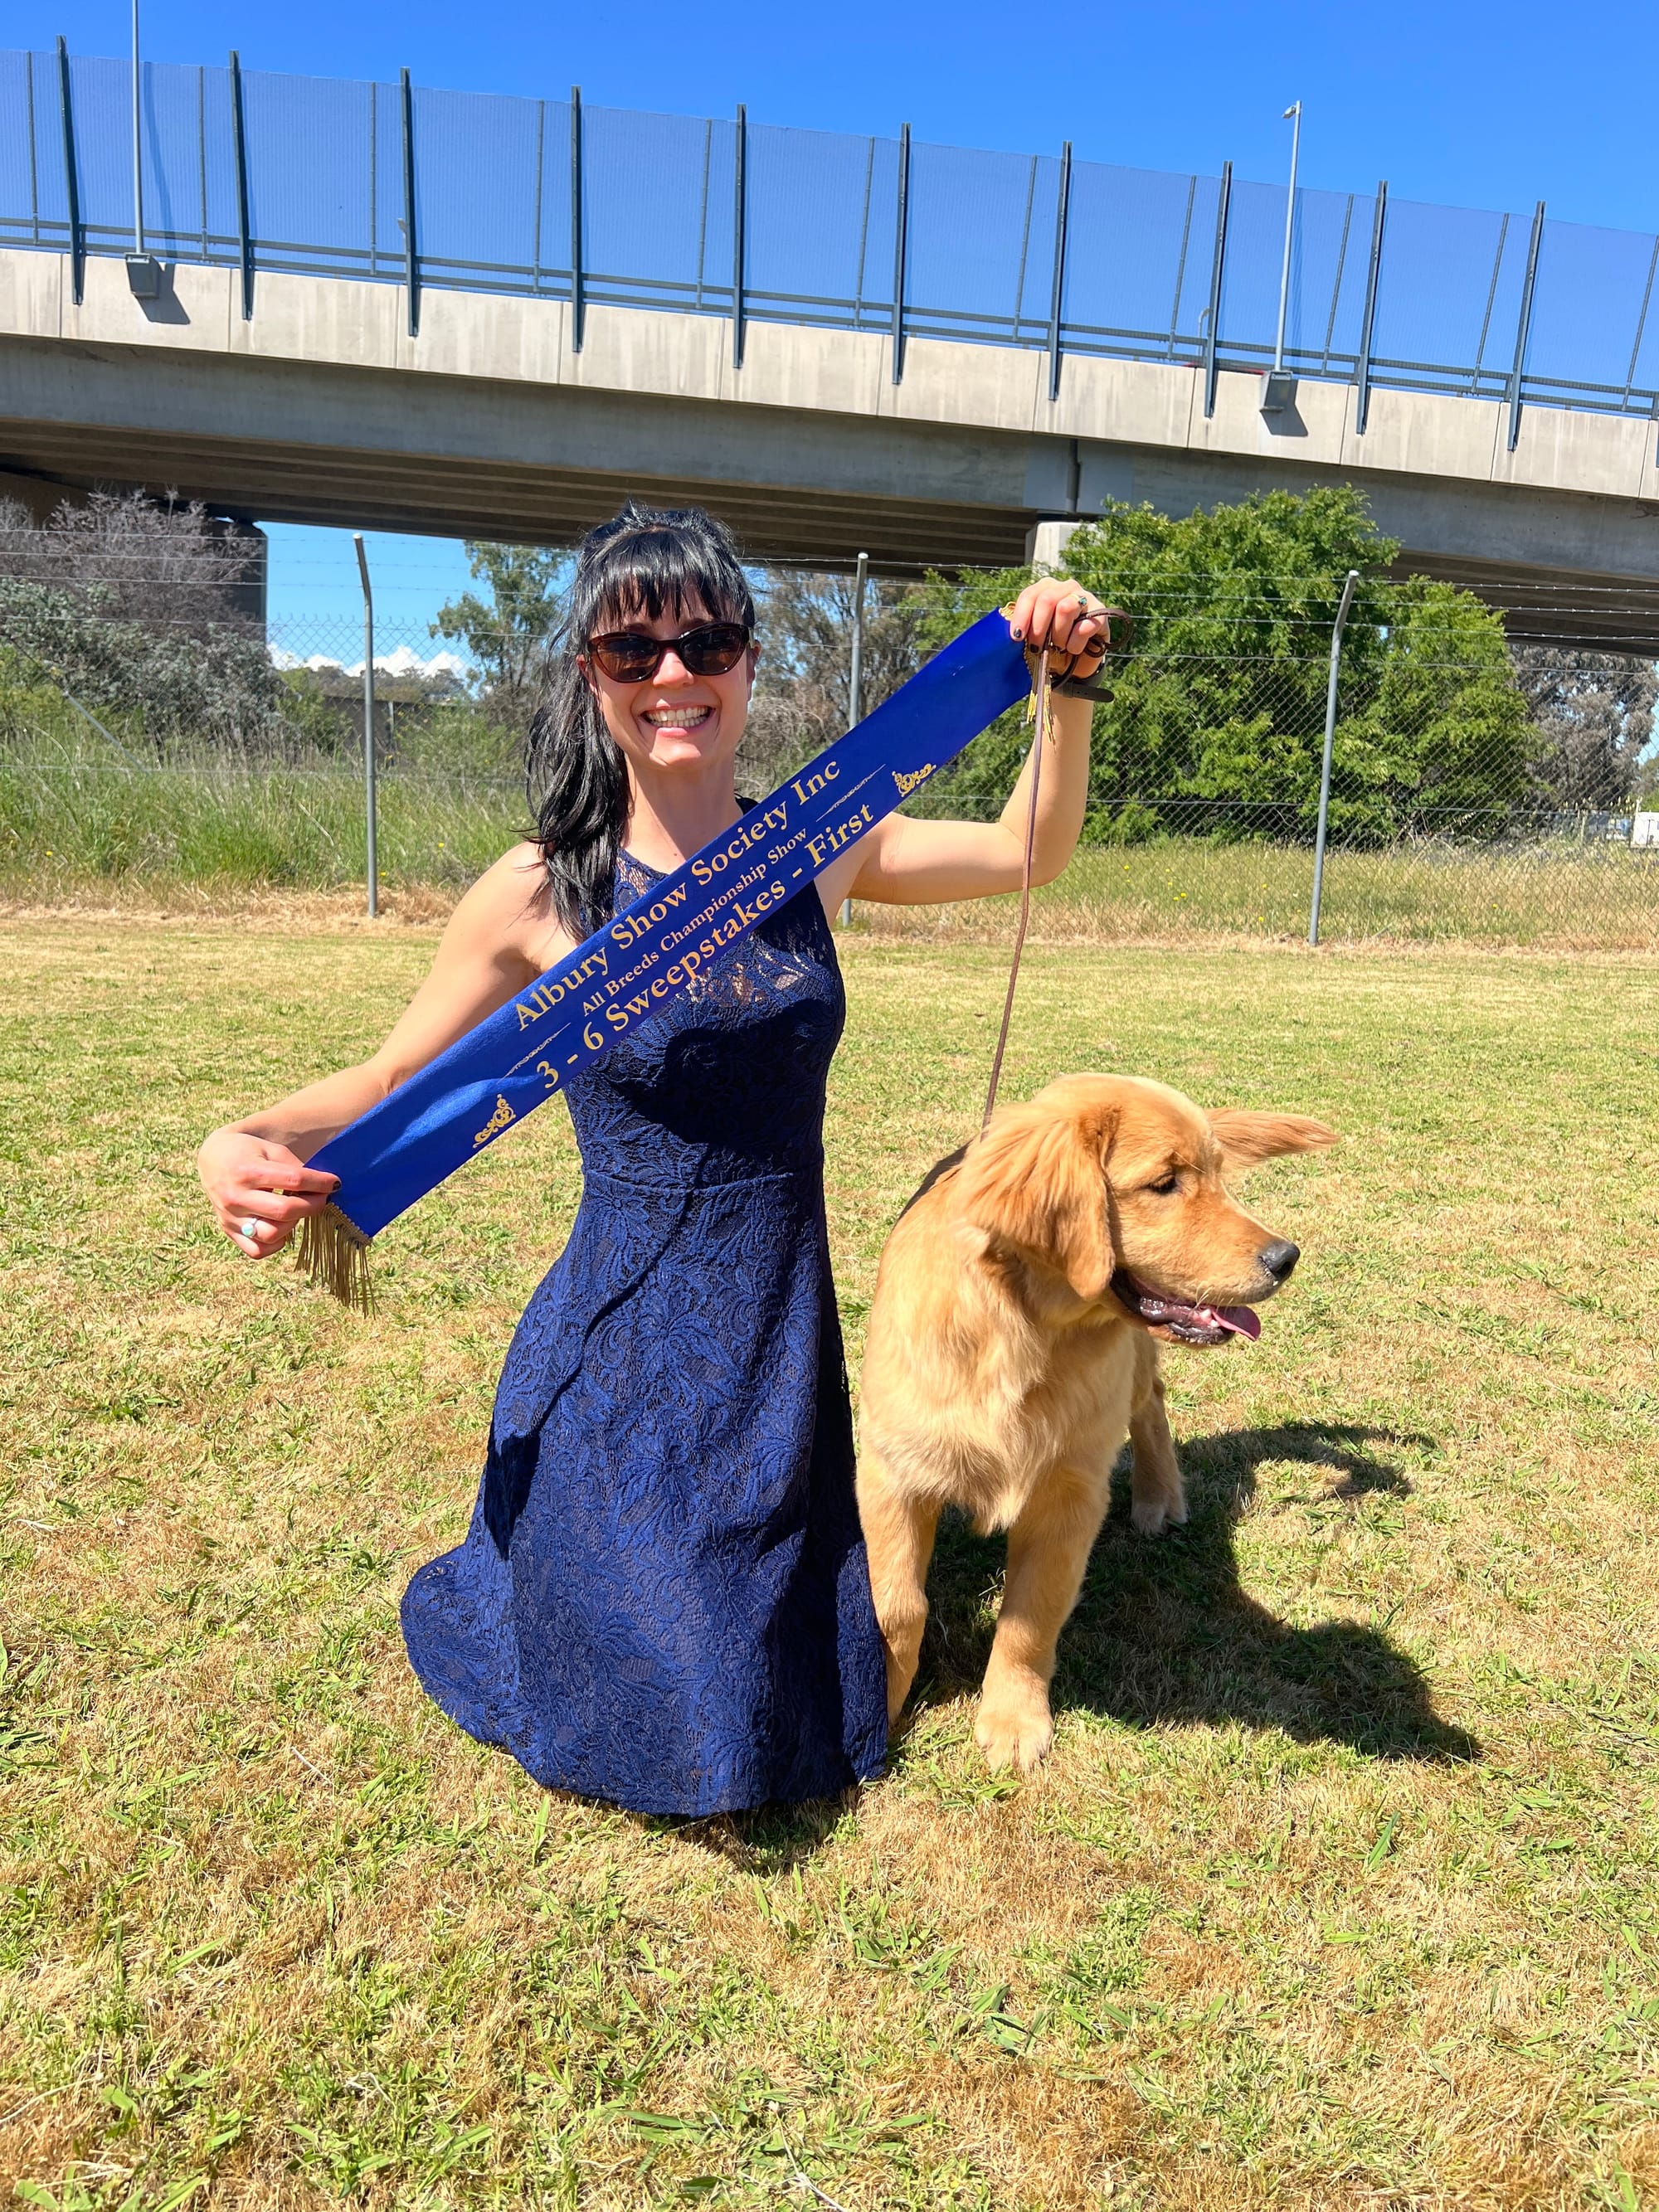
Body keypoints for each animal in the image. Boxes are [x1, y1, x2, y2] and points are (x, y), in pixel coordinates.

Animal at [856, 1074, 1336, 1773]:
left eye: (1217, 1173)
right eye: (1165, 1183)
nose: (1286, 1257)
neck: (1022, 1331)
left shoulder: (1070, 1491)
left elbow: (1029, 1616)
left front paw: (1013, 1719)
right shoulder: (892, 1473)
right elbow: (895, 1606)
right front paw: (878, 1709)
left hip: (1128, 1372)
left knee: (1152, 1402)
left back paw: (1159, 1496)